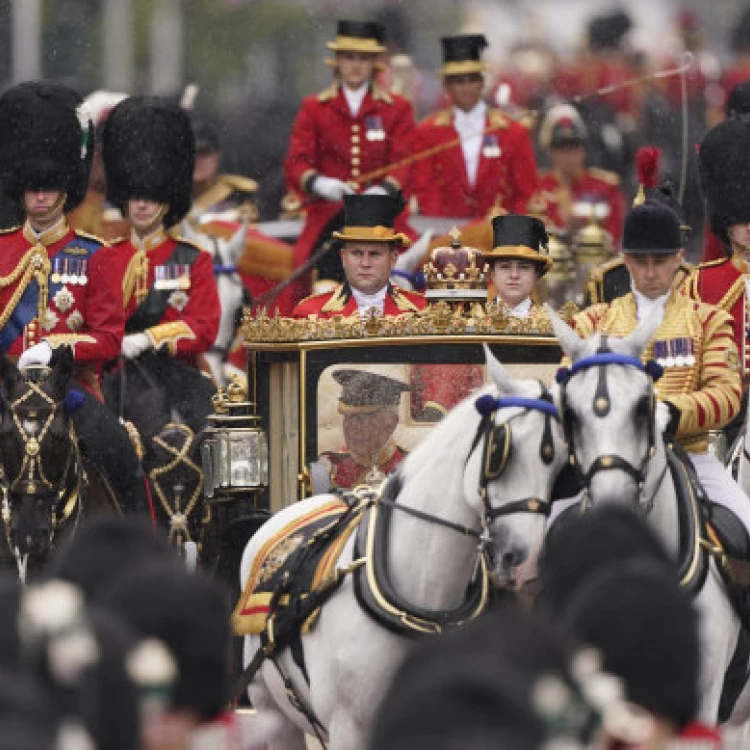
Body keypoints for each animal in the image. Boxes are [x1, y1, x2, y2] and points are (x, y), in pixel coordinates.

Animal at [241, 350, 568, 748]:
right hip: (272, 714)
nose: (525, 562)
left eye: (562, 464)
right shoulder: (349, 728)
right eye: (499, 451)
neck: (424, 603)